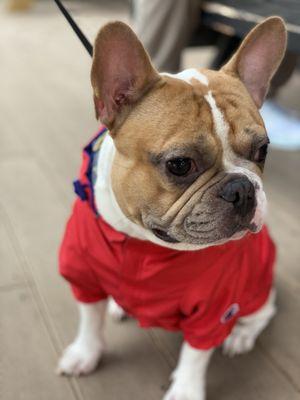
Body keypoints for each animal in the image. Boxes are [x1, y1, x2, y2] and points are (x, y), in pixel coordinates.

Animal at [55, 17, 286, 400]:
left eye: (263, 150)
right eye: (180, 165)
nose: (242, 189)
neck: (142, 244)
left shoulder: (214, 308)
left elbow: (196, 353)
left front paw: (186, 390)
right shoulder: (83, 274)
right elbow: (90, 318)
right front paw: (85, 353)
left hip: (257, 292)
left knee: (262, 314)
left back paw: (240, 336)